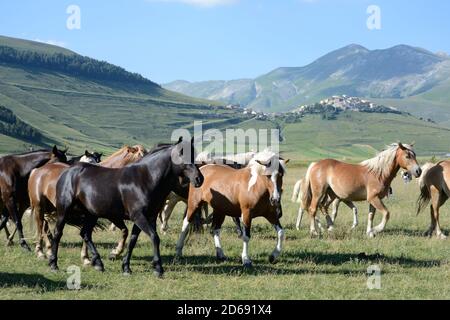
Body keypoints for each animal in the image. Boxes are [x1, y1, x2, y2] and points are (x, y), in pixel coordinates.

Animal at [48, 138, 202, 278]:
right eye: (182, 154)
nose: (199, 179)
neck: (145, 179)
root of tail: (67, 172)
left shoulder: (148, 217)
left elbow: (133, 241)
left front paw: (126, 267)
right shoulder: (139, 216)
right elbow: (154, 237)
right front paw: (158, 269)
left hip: (92, 214)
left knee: (85, 234)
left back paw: (98, 264)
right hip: (64, 211)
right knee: (58, 233)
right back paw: (53, 264)